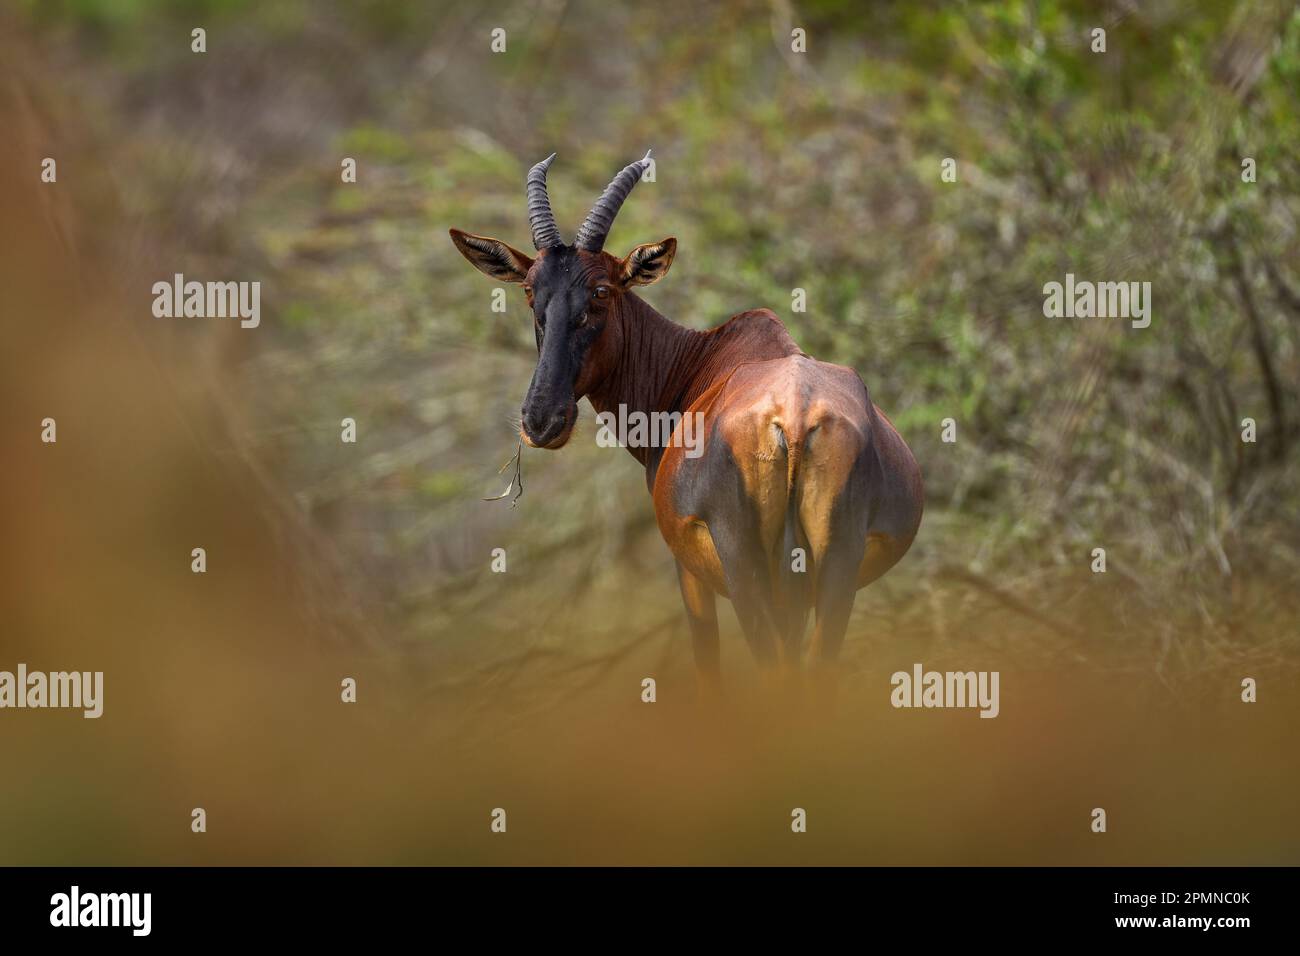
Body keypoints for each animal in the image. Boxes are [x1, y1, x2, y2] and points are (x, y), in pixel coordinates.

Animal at [452, 153, 920, 691]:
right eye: (531, 292)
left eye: (602, 290)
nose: (542, 420)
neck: (700, 359)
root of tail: (795, 417)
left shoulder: (689, 572)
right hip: (831, 576)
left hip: (749, 573)